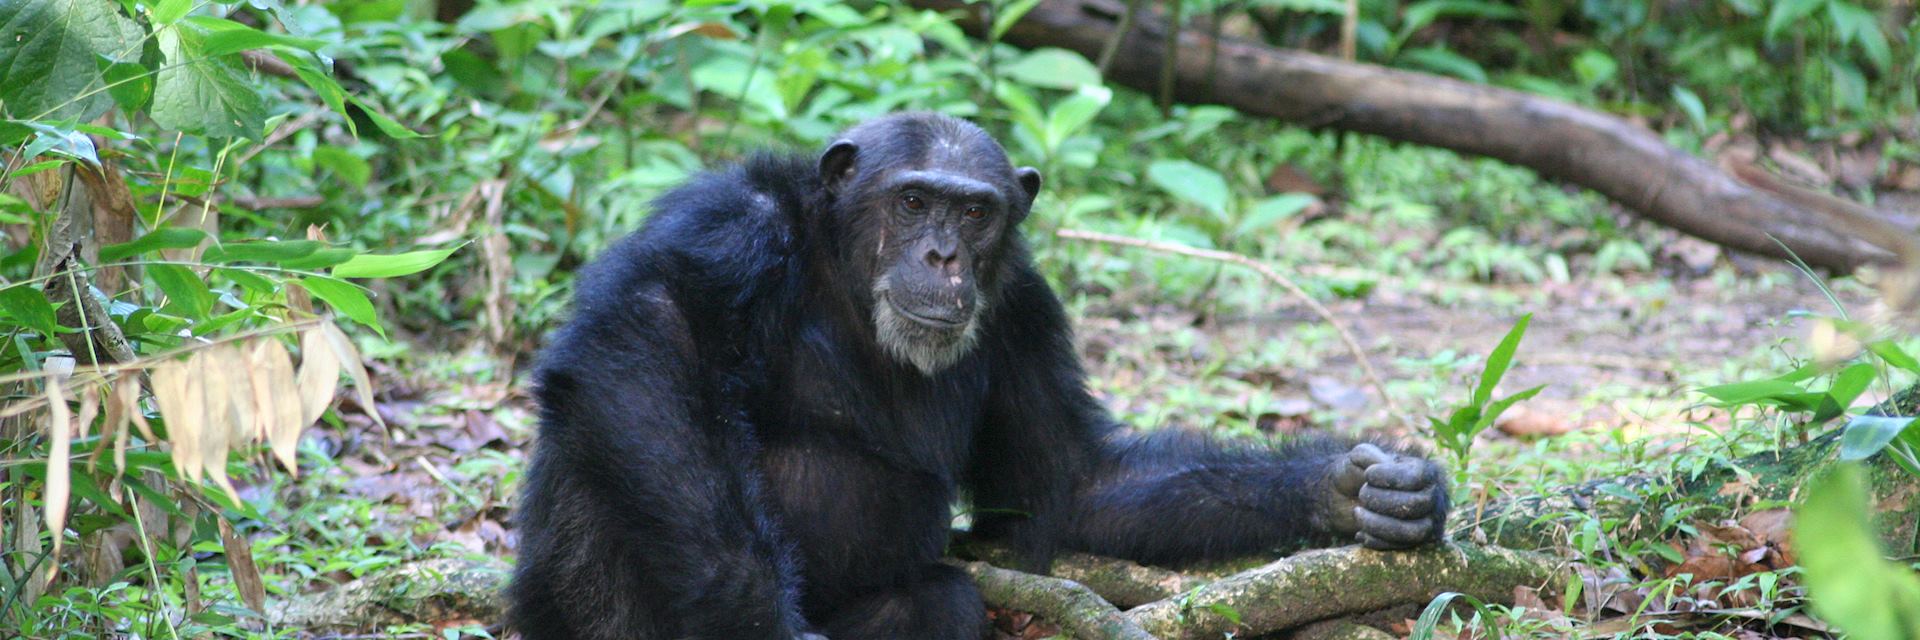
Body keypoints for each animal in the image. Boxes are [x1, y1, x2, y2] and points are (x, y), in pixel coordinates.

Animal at [506, 111, 1443, 634]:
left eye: (975, 211)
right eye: (915, 200)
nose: (943, 255)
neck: (841, 265)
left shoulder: (1026, 309)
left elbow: (1071, 478)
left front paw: (1354, 488)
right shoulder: (730, 225)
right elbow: (648, 331)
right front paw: (752, 619)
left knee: (944, 603)